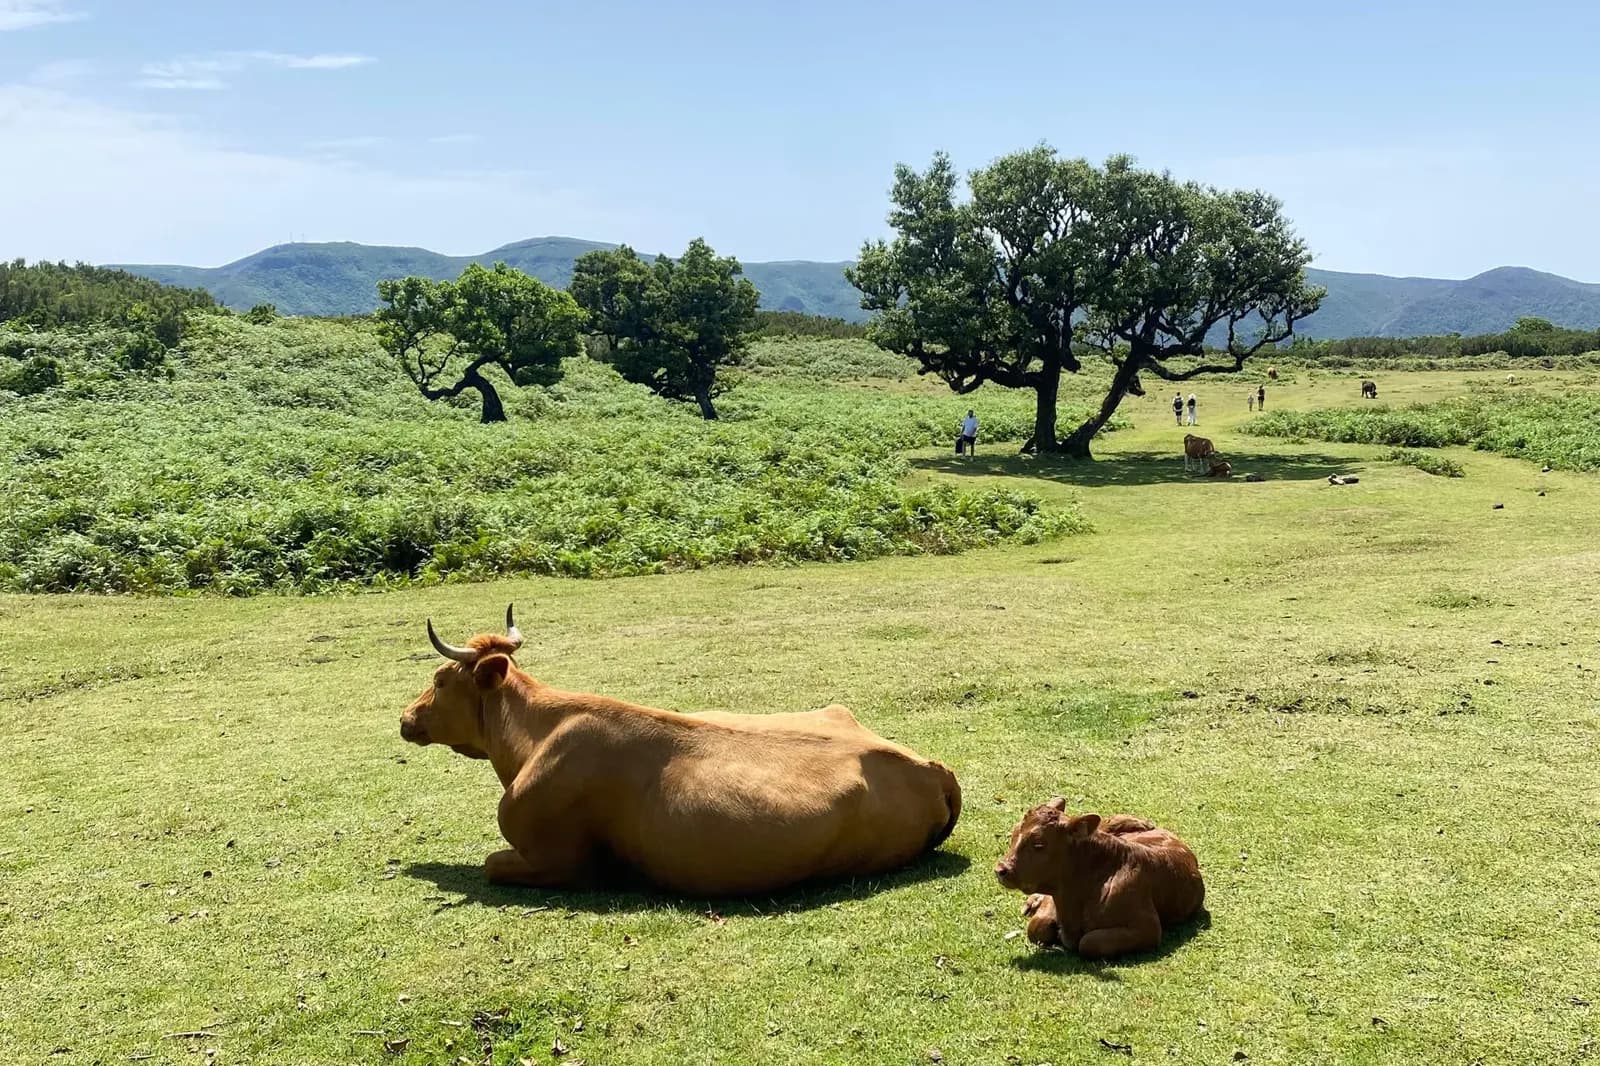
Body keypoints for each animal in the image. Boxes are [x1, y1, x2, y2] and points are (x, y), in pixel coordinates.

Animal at [399, 606, 963, 896]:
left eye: (440, 679)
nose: (404, 718)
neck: (536, 735)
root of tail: (931, 769)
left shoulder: (558, 859)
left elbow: (493, 863)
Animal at [994, 799, 1206, 959]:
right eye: (1014, 833)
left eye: (1039, 844)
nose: (1000, 869)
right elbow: (1037, 927)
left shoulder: (1148, 927)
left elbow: (1089, 942)